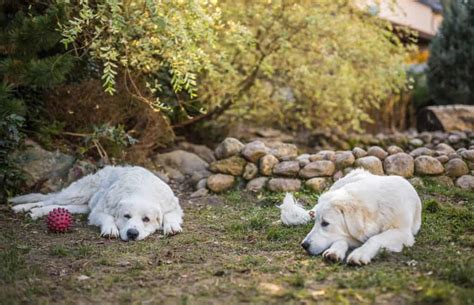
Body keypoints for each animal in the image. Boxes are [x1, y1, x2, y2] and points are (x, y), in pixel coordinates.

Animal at [9, 165, 183, 241]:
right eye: (126, 216)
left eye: (146, 219)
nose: (132, 234)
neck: (140, 190)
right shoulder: (99, 211)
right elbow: (108, 218)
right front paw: (110, 229)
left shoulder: (174, 207)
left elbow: (170, 216)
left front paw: (172, 227)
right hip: (76, 195)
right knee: (48, 199)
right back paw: (23, 207)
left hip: (80, 205)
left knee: (57, 207)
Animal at [278, 167, 422, 264]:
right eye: (317, 223)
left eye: (325, 223)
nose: (304, 245)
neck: (379, 208)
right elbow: (341, 239)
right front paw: (335, 251)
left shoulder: (403, 233)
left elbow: (375, 238)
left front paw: (360, 253)